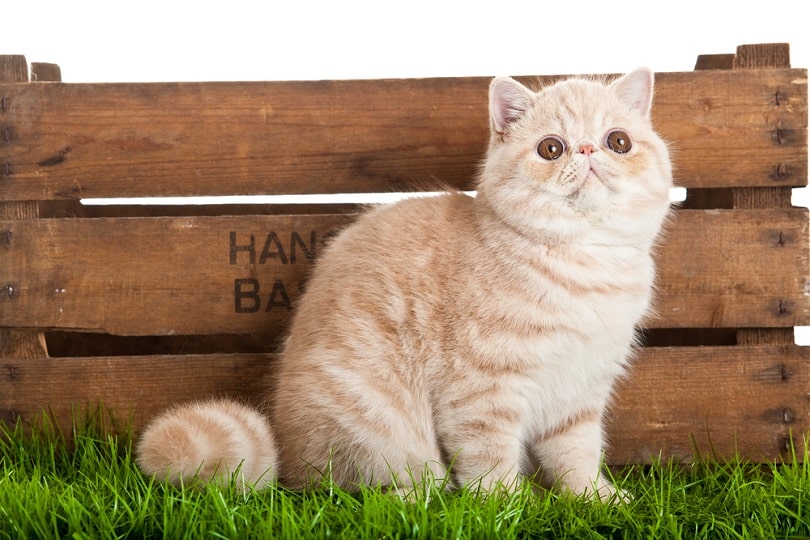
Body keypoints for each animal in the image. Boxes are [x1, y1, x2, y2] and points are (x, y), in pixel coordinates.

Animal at [136, 67, 672, 502]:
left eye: (618, 141)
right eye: (551, 148)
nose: (587, 149)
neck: (587, 264)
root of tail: (287, 453)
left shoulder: (580, 393)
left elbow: (576, 454)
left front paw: (595, 499)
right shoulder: (480, 392)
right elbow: (490, 462)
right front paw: (509, 507)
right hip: (381, 429)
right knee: (366, 491)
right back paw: (415, 499)